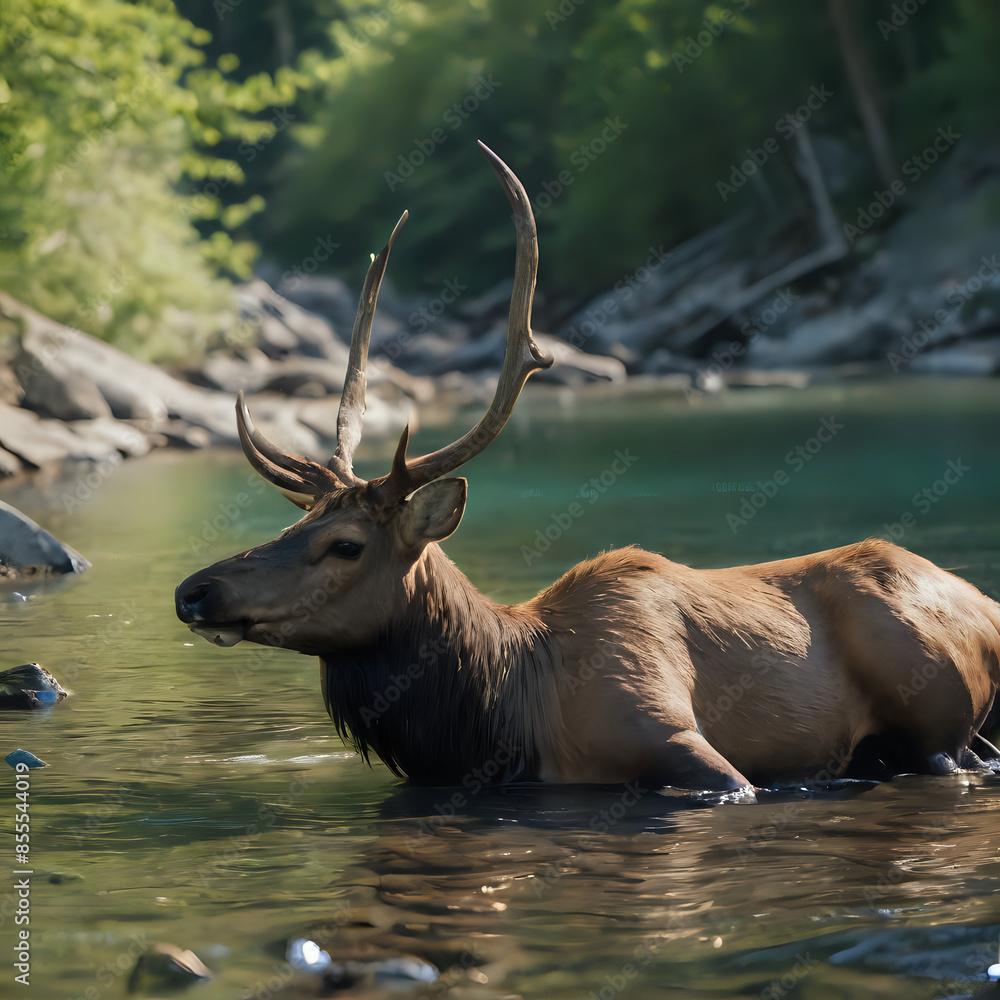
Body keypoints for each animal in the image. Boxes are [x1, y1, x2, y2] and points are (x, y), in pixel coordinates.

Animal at [176, 141, 1000, 796]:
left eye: (344, 545)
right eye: (294, 523)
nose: (193, 590)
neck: (503, 719)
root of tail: (987, 606)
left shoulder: (683, 741)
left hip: (938, 713)